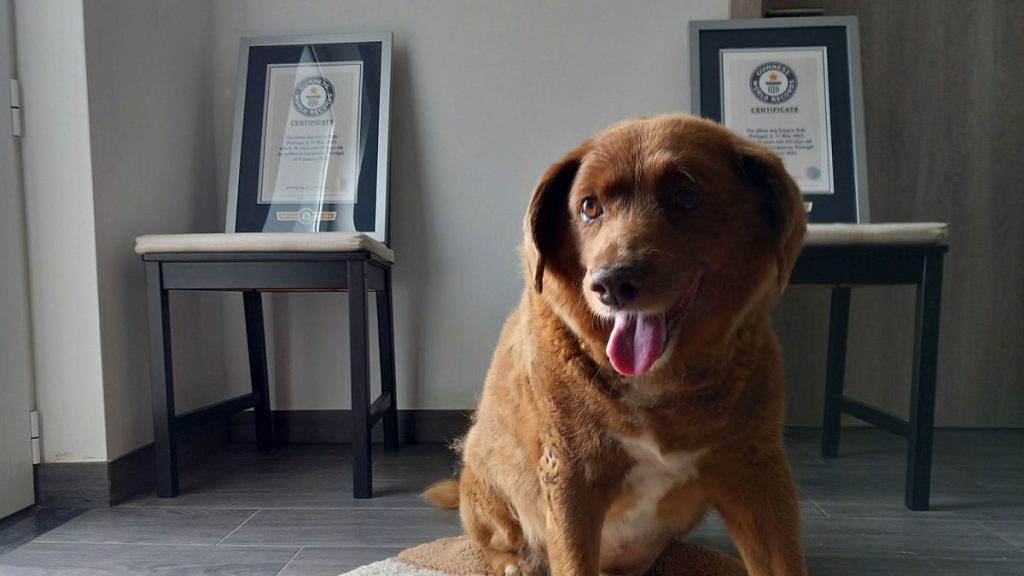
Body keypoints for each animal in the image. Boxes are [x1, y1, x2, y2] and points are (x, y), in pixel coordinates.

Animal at [425, 114, 806, 573]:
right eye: (589, 207)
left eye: (686, 197)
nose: (610, 283)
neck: (659, 382)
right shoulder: (571, 476)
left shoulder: (758, 473)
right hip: (487, 480)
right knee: (493, 540)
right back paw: (513, 562)